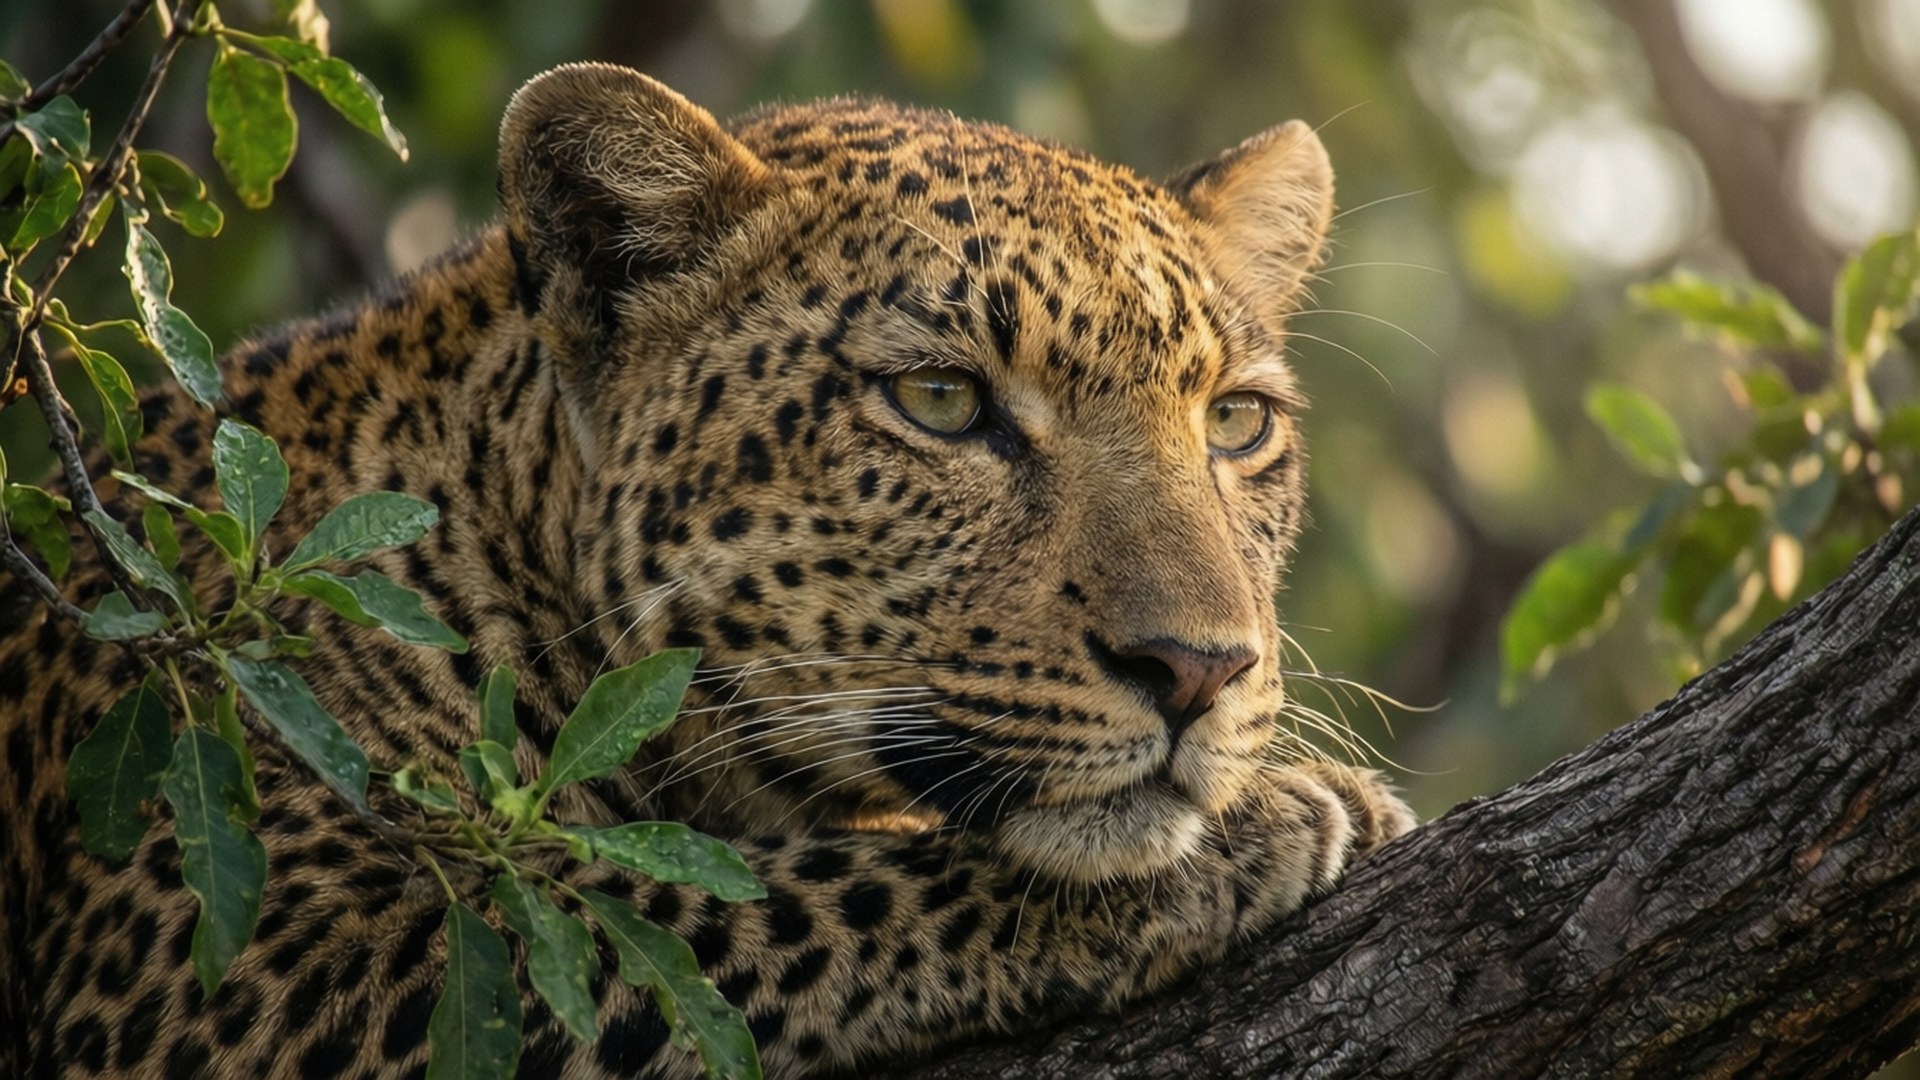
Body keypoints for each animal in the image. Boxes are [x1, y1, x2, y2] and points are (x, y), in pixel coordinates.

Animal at [0, 63, 1415, 1077]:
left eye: (1237, 424)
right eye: (943, 401)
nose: (1199, 671)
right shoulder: (239, 967)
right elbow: (719, 907)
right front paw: (1271, 824)